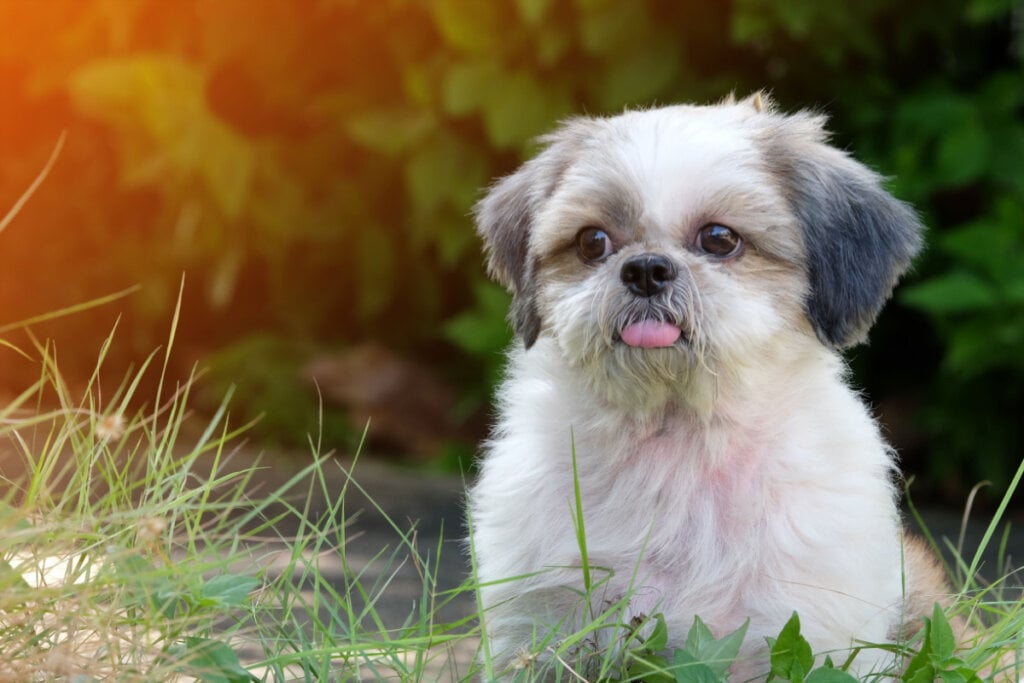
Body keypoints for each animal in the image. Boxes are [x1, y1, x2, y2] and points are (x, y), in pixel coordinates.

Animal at [468, 93, 954, 679]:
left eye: (719, 239)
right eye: (592, 242)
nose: (646, 268)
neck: (679, 440)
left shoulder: (807, 636)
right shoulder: (539, 628)